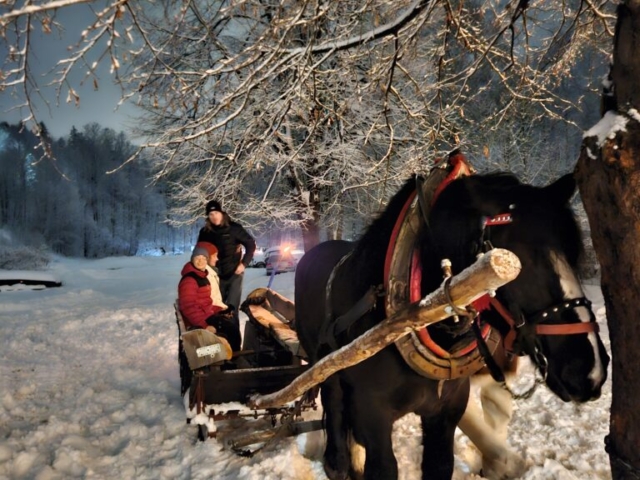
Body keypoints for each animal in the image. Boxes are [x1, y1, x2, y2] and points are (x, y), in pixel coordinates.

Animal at [296, 162, 608, 480]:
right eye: (519, 257)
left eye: (571, 254)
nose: (590, 369)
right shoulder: (373, 413)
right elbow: (381, 465)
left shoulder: (445, 412)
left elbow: (441, 464)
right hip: (323, 364)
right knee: (333, 399)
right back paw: (337, 462)